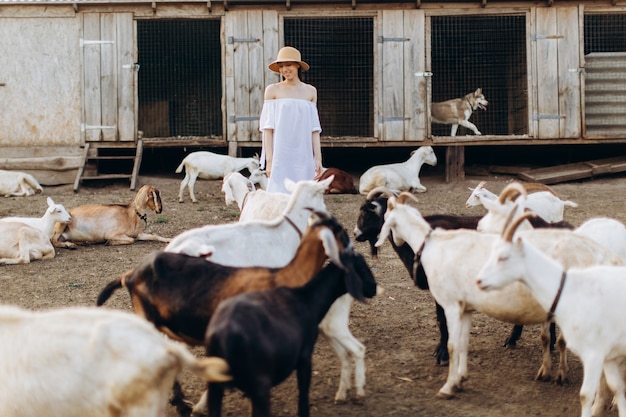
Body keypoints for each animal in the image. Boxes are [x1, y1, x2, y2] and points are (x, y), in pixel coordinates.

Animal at [372, 193, 620, 398]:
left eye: (380, 214)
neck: (434, 245)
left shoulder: (450, 304)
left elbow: (451, 344)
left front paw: (447, 384)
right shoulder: (465, 307)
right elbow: (462, 343)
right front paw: (460, 379)